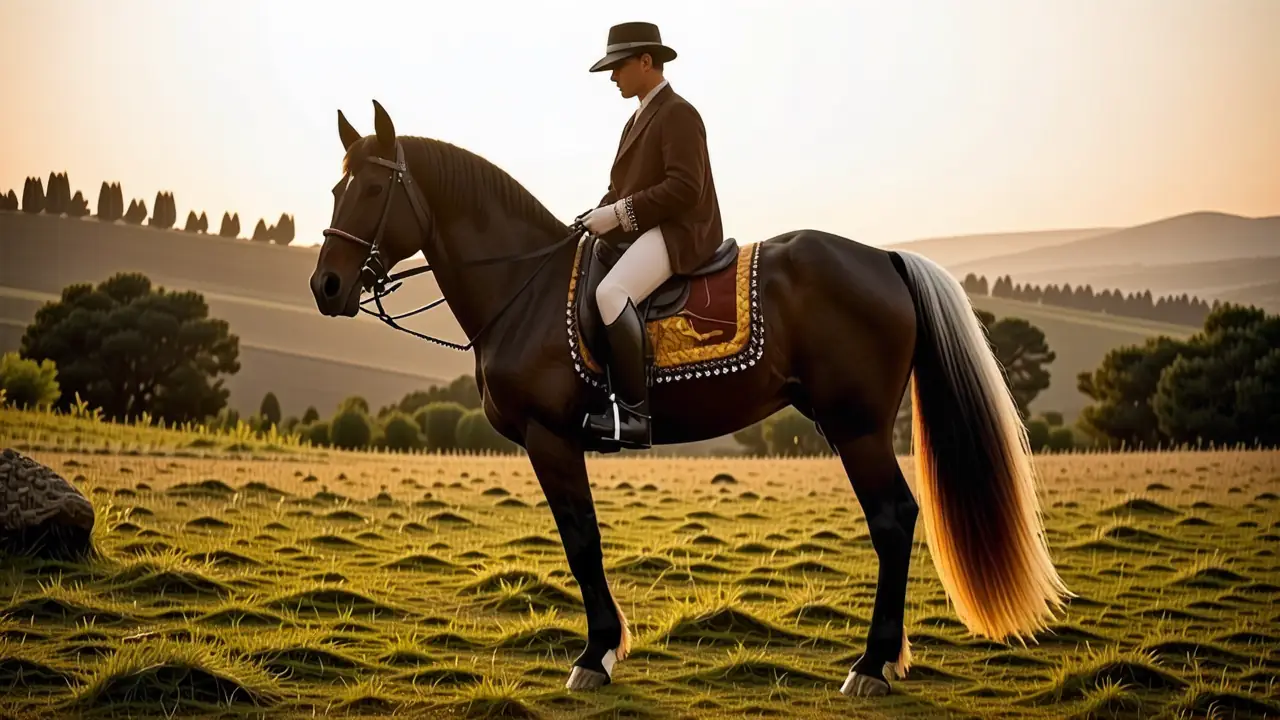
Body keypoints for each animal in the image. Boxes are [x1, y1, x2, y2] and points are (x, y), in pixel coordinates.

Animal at [309, 100, 1071, 698]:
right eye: (335, 188)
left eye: (372, 188)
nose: (326, 287)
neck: (523, 287)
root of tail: (883, 257)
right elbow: (582, 539)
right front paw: (604, 649)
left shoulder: (552, 438)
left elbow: (581, 539)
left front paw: (596, 656)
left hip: (856, 427)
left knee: (892, 518)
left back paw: (871, 667)